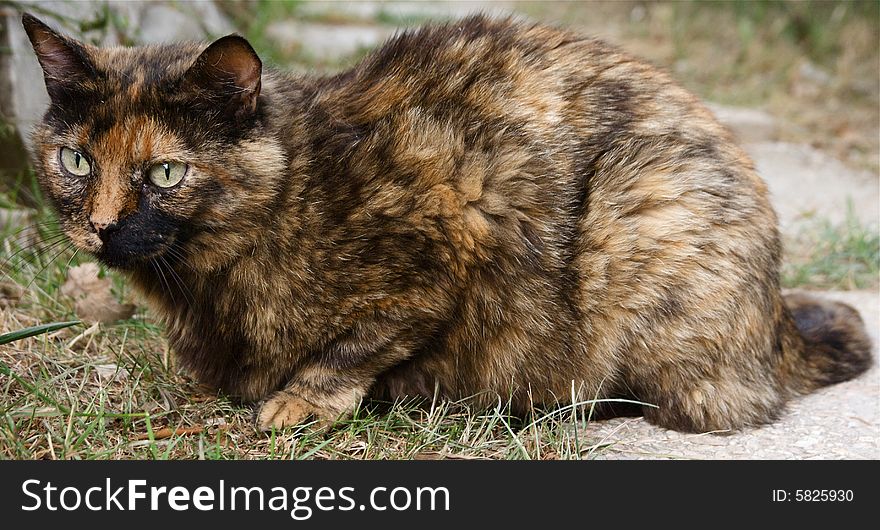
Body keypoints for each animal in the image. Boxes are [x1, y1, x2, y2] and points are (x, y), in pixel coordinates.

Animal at [22, 12, 872, 432]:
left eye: (165, 173)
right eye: (76, 161)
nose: (100, 226)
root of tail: (776, 321)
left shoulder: (449, 234)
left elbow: (356, 345)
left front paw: (303, 400)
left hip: (643, 209)